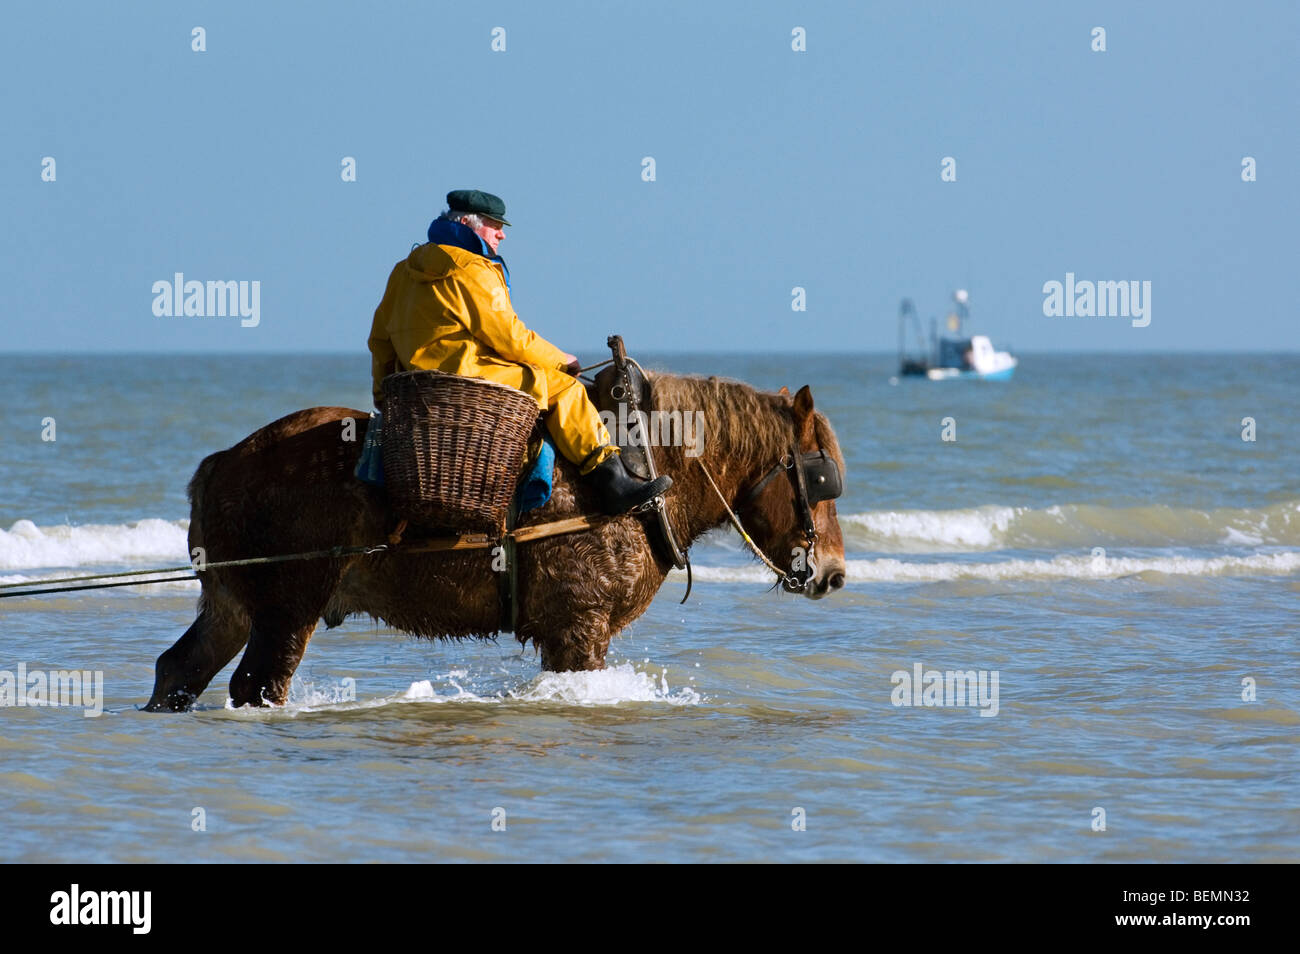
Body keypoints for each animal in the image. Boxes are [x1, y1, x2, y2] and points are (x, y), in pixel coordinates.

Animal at [144, 373, 847, 711]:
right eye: (819, 479)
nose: (834, 574)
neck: (640, 473)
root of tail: (223, 463)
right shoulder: (579, 629)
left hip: (236, 603)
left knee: (180, 667)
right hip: (288, 607)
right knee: (257, 683)